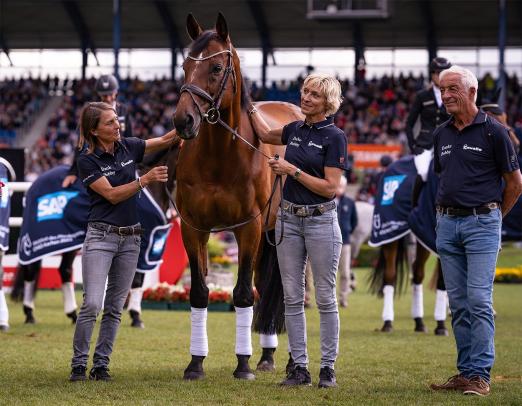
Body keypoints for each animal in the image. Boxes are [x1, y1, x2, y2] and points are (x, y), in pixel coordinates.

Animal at [172, 13, 300, 380]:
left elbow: (243, 294)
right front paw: (195, 363)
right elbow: (199, 292)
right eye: (185, 66)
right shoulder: (194, 229)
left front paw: (242, 365)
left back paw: (289, 362)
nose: (183, 120)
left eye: (216, 68)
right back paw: (267, 356)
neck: (220, 156)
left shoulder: (248, 228)